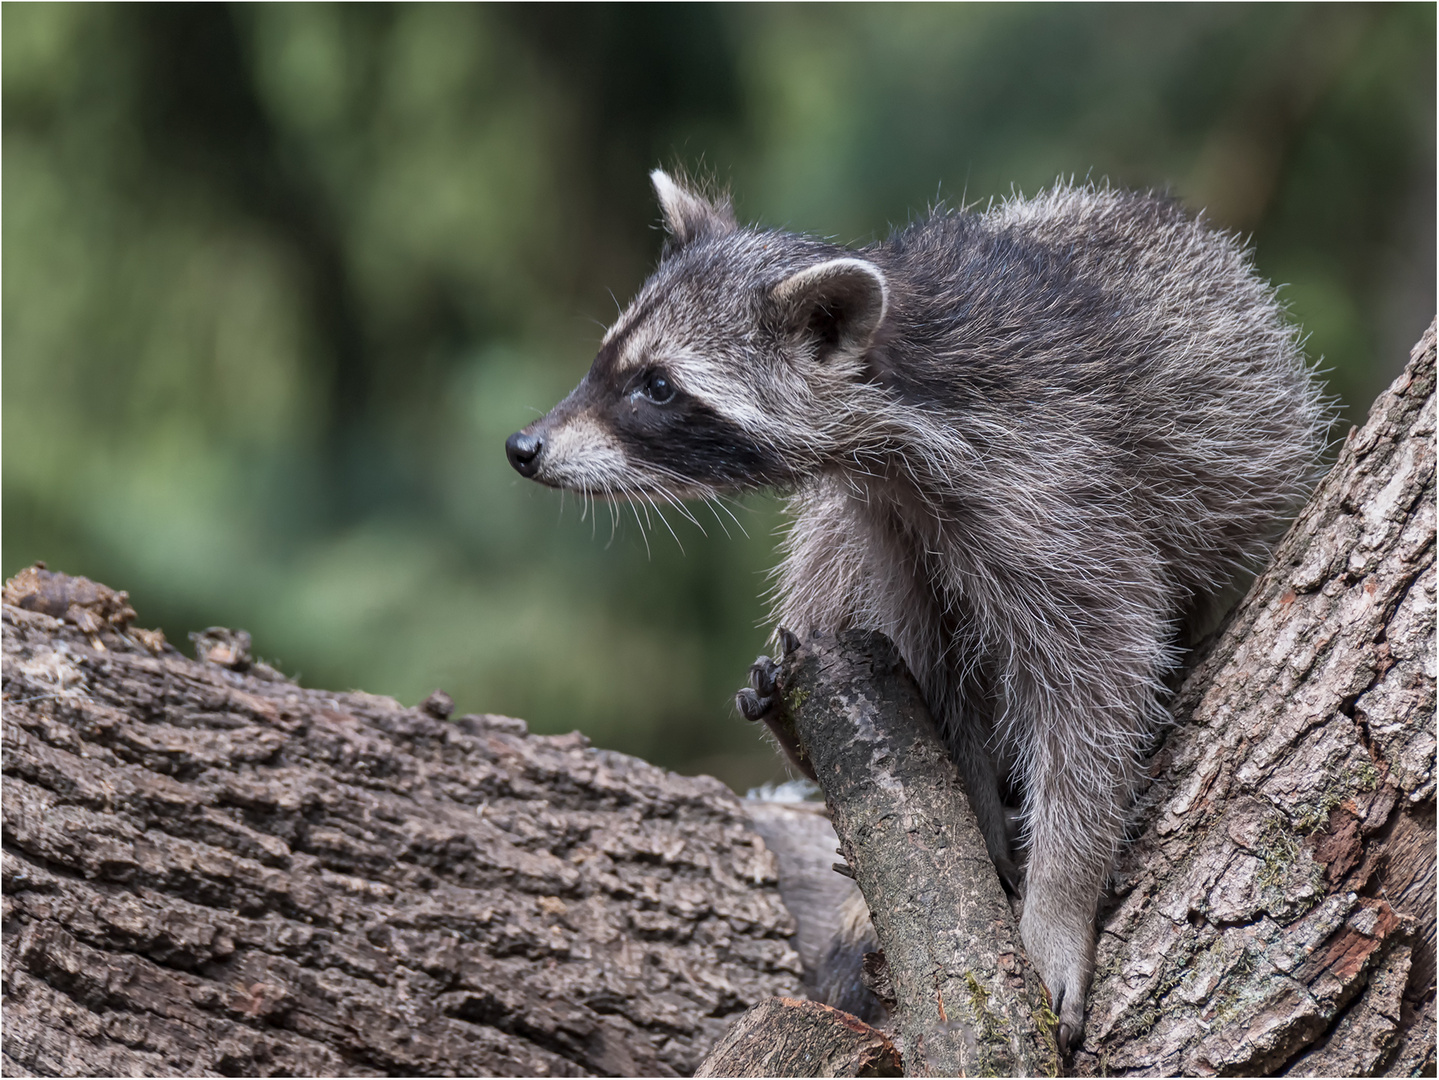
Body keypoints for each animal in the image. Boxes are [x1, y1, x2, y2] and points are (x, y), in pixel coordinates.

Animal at [506, 171, 1323, 1058]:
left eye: (656, 385)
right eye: (604, 360)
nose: (523, 447)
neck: (902, 389)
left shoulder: (1055, 481)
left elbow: (1099, 680)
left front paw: (1060, 892)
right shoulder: (889, 520)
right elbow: (927, 677)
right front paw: (980, 816)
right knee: (823, 562)